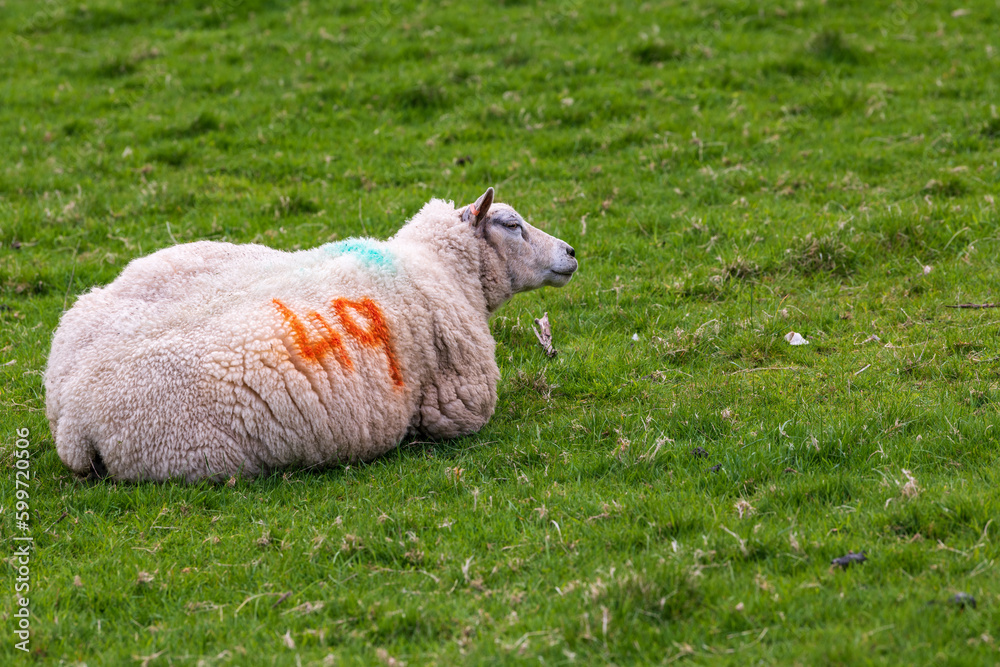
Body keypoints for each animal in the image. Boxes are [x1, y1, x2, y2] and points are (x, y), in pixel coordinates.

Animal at [44, 187, 578, 482]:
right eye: (512, 224)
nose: (572, 252)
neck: (440, 266)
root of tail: (74, 419)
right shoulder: (458, 405)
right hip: (196, 455)